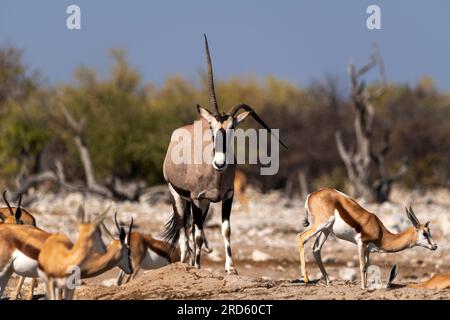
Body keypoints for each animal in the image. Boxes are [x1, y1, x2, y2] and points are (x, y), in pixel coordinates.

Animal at [163, 35, 286, 276]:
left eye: (232, 128)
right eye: (212, 127)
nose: (219, 163)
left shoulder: (227, 196)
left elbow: (225, 229)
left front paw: (231, 267)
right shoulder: (196, 197)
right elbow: (198, 234)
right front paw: (197, 265)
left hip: (204, 204)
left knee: (191, 228)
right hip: (178, 195)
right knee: (184, 229)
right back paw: (186, 262)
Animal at [298, 189, 436, 288]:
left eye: (429, 232)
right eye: (425, 233)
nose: (435, 246)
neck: (380, 231)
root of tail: (311, 194)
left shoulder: (368, 250)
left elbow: (368, 267)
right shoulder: (361, 243)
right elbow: (363, 266)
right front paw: (363, 287)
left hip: (326, 230)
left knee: (316, 249)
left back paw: (328, 282)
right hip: (321, 224)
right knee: (301, 237)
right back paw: (306, 280)